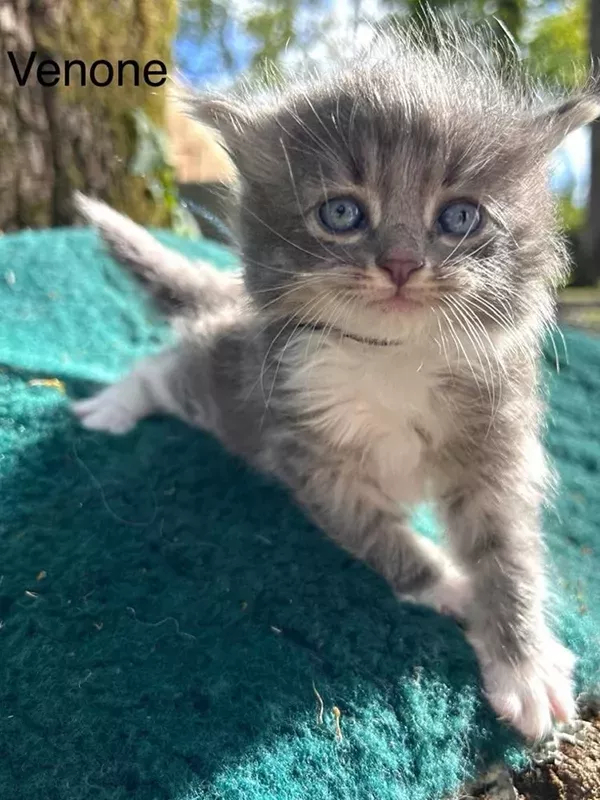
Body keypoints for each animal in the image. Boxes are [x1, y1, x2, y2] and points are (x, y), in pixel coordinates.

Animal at [72, 21, 596, 740]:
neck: (394, 357)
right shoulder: (308, 452)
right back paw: (112, 407)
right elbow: (387, 541)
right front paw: (451, 588)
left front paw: (524, 662)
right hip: (221, 387)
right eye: (343, 214)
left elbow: (507, 555)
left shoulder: (497, 451)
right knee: (162, 368)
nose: (401, 264)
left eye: (459, 218)